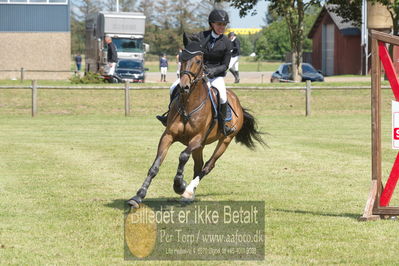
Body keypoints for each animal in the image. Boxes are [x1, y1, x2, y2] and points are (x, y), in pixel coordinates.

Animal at [128, 33, 266, 208]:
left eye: (199, 61)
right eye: (181, 57)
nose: (184, 87)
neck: (188, 105)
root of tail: (238, 104)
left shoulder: (197, 139)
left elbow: (182, 156)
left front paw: (179, 185)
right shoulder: (168, 136)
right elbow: (155, 166)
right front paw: (138, 196)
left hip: (225, 140)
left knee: (207, 166)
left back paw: (187, 191)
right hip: (201, 146)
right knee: (198, 166)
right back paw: (189, 195)